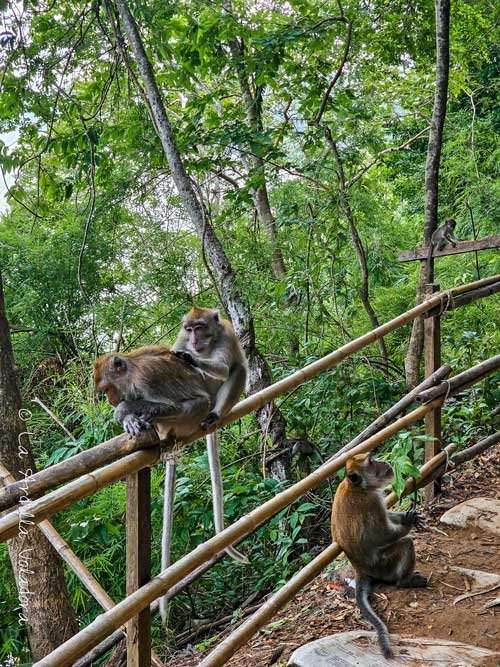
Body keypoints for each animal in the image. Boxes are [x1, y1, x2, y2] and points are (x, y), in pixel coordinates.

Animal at [331, 453, 427, 659]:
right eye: (371, 462)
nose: (383, 461)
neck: (357, 488)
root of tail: (360, 569)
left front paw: (407, 515)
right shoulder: (370, 501)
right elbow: (380, 534)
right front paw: (408, 523)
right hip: (383, 565)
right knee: (406, 544)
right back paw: (405, 581)